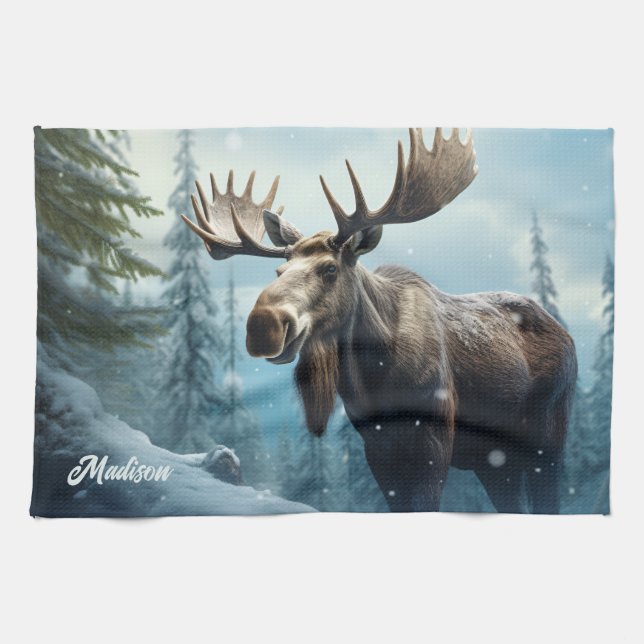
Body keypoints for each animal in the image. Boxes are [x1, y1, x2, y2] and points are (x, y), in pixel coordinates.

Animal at [181, 128, 577, 513]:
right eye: (279, 270)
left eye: (330, 268)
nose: (263, 325)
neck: (376, 379)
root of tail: (565, 333)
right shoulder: (377, 448)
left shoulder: (433, 441)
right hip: (494, 461)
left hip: (548, 437)